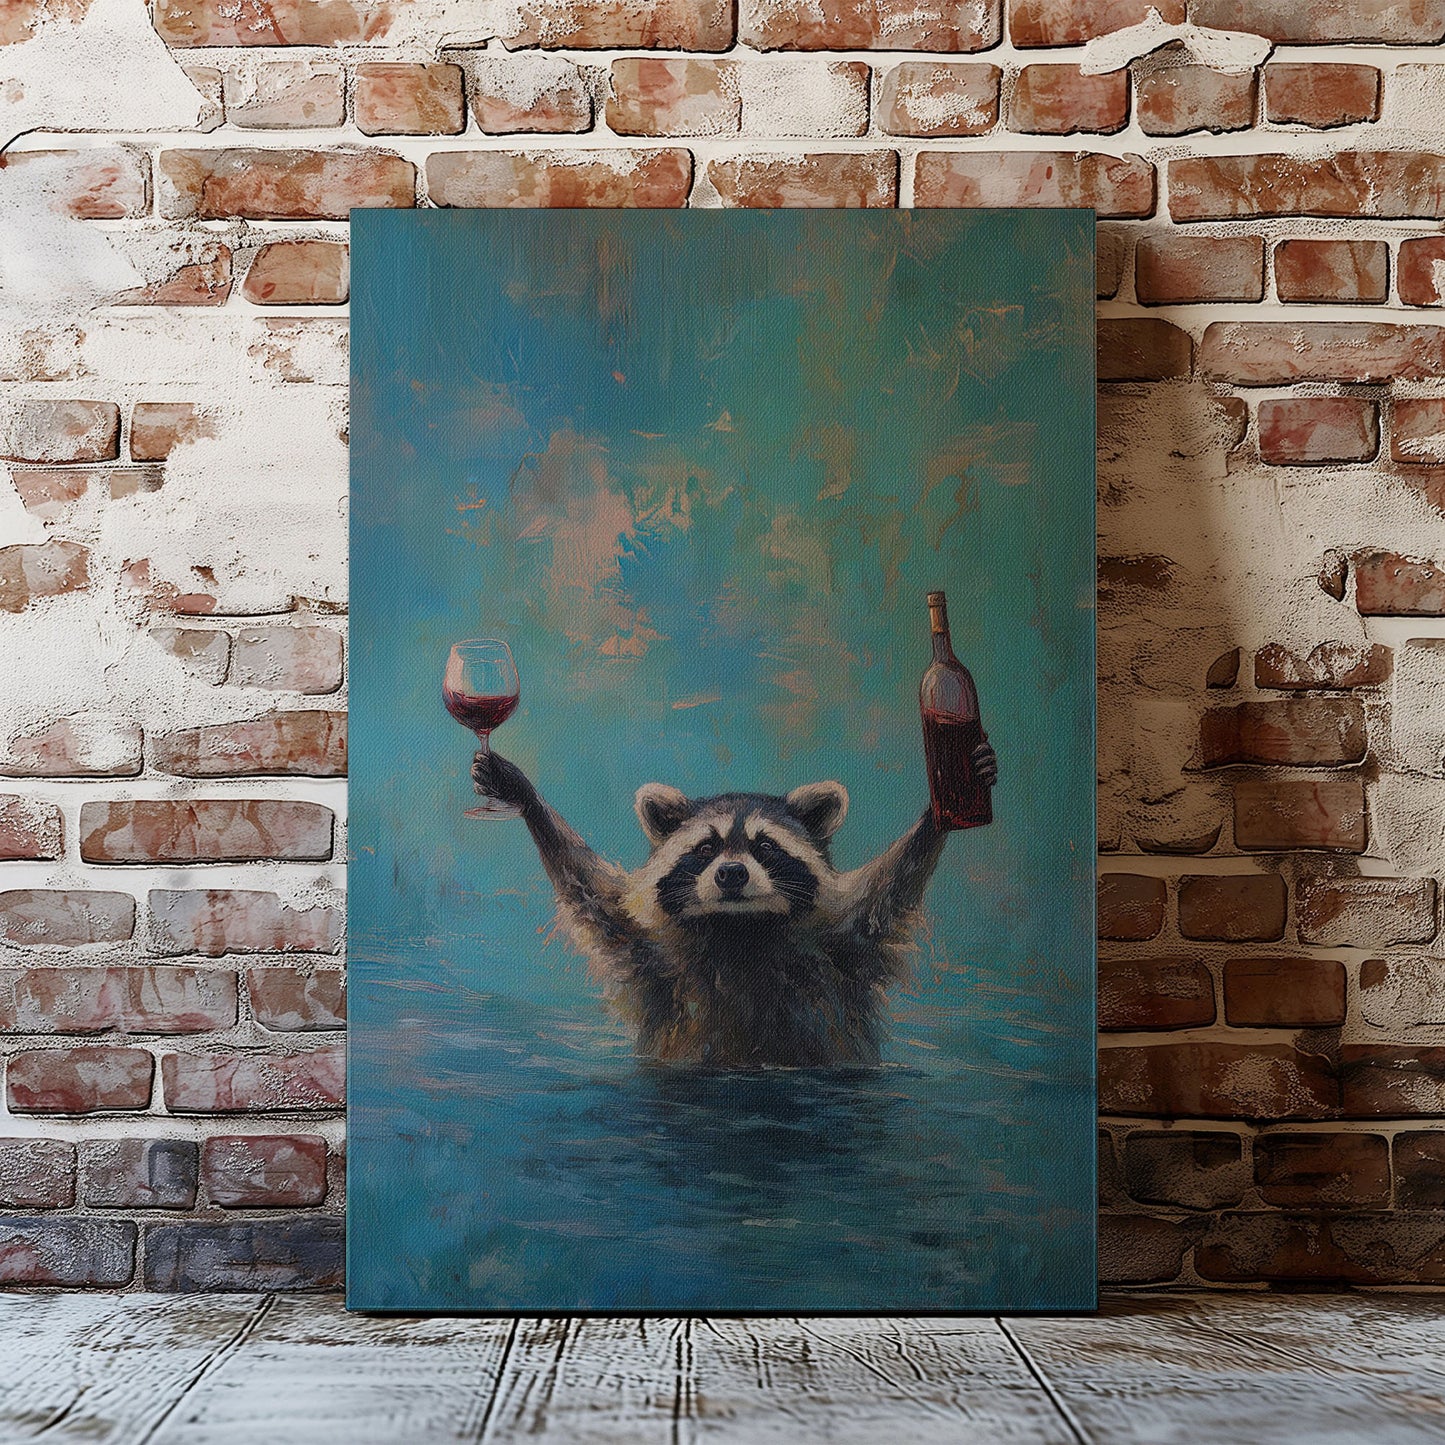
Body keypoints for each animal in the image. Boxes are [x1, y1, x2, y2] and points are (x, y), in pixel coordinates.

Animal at [471, 743, 997, 1069]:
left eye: (765, 846)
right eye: (706, 847)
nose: (730, 874)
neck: (740, 928)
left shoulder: (846, 946)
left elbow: (892, 886)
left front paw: (940, 811)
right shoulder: (647, 950)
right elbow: (588, 888)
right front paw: (525, 797)